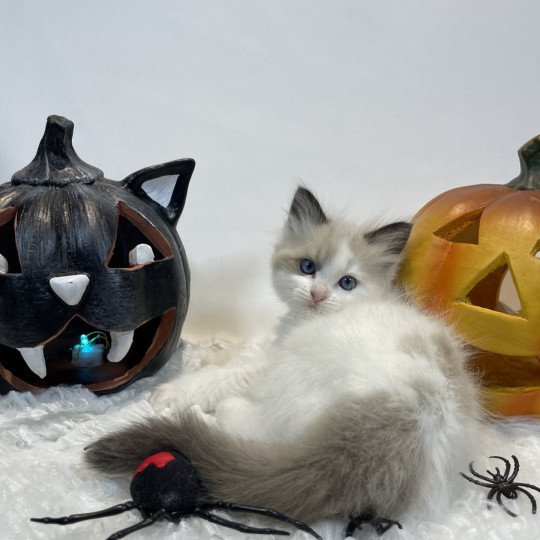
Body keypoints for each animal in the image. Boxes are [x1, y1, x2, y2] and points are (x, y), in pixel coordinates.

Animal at [89, 187, 486, 528]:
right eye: (307, 267)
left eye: (347, 283)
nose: (318, 295)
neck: (302, 319)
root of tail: (402, 421)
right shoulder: (273, 342)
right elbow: (239, 349)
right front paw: (210, 351)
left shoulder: (270, 362)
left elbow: (227, 373)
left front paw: (174, 391)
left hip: (296, 375)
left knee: (266, 431)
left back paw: (225, 412)